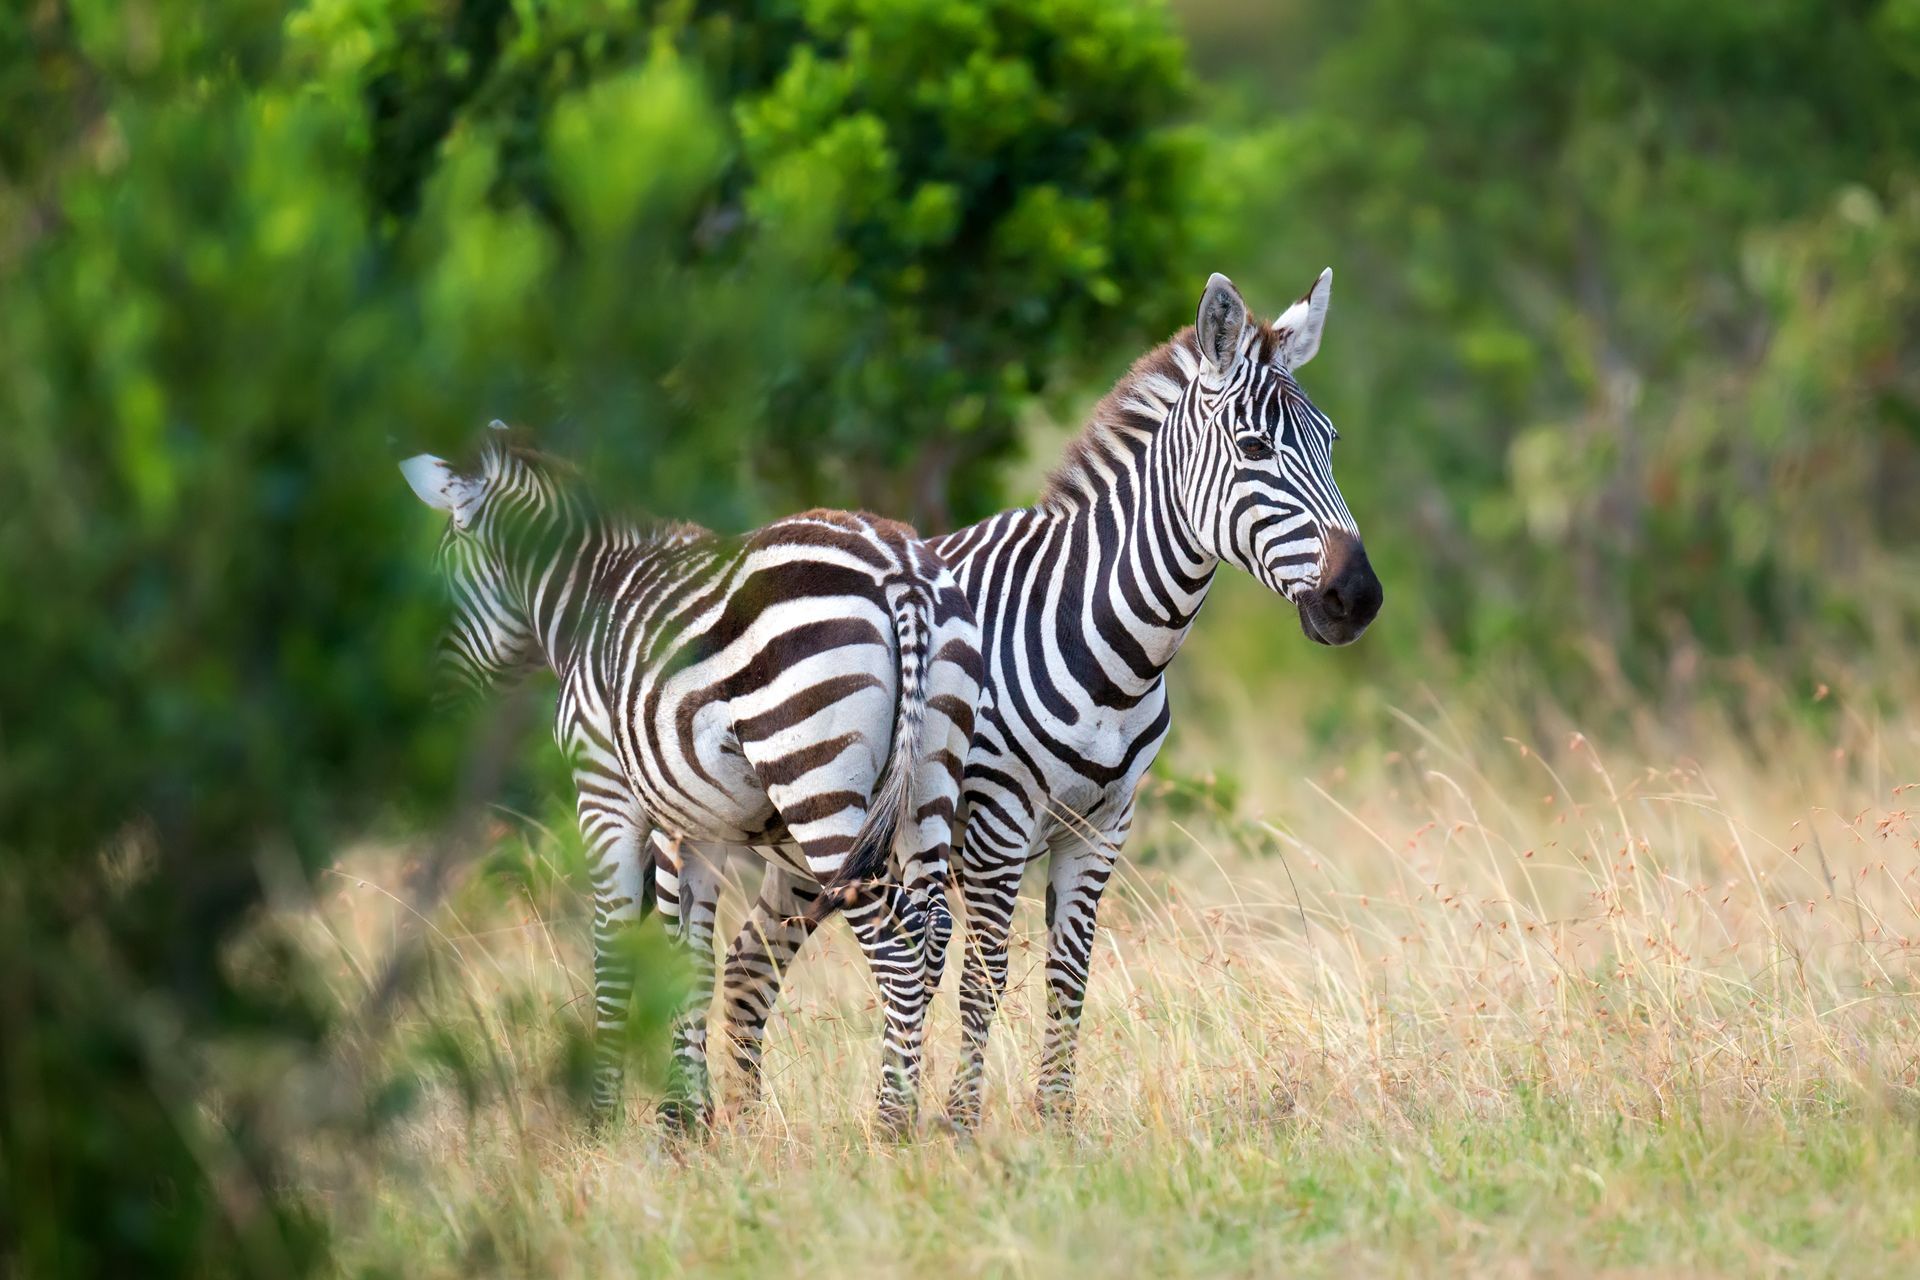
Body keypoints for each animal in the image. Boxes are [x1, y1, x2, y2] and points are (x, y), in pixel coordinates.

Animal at [398, 421, 982, 1134]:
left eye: (444, 569)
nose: (434, 704)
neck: (593, 596)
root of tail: (897, 565)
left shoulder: (606, 797)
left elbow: (616, 948)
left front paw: (608, 1119)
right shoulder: (700, 825)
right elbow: (692, 962)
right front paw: (688, 1120)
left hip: (815, 778)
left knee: (894, 942)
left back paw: (890, 1124)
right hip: (930, 774)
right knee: (932, 929)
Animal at [697, 269, 1383, 1127]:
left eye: (1330, 443)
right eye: (1254, 448)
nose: (1358, 598)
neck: (1112, 649)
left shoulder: (1103, 827)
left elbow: (1070, 975)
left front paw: (1054, 1122)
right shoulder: (996, 823)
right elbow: (985, 978)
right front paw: (961, 1126)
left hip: (804, 839)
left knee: (749, 964)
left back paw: (747, 1133)